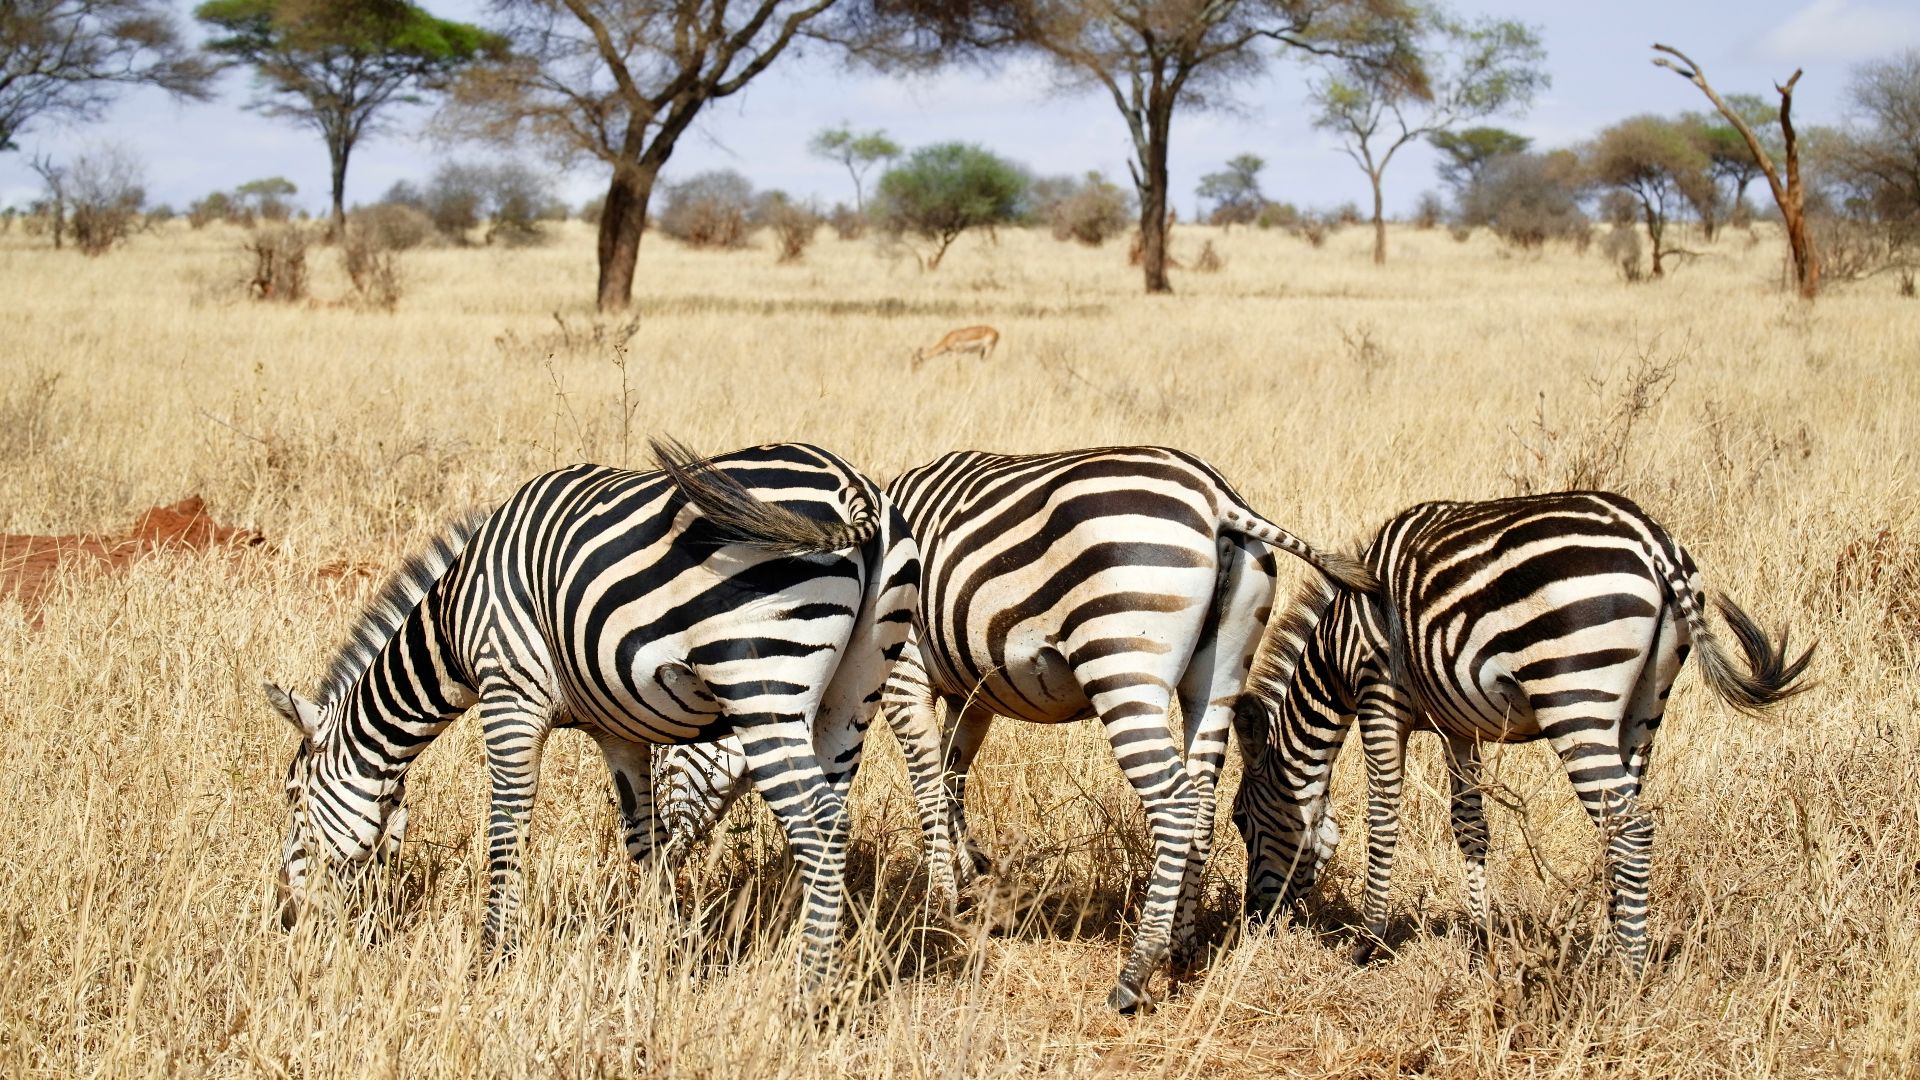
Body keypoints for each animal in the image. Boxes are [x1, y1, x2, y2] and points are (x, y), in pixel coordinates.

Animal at [266, 440, 919, 991]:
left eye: (293, 795)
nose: (285, 917)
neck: (453, 621)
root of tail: (851, 486)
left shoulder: (511, 692)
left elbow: (506, 827)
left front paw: (493, 957)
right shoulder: (615, 727)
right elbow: (644, 839)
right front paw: (663, 951)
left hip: (761, 687)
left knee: (818, 828)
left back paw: (806, 993)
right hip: (853, 694)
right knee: (829, 819)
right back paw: (800, 959)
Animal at [651, 446, 1377, 1014]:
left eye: (667, 759)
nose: (659, 863)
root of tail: (1220, 498)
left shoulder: (905, 672)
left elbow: (923, 777)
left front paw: (941, 902)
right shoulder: (972, 690)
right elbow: (952, 772)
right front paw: (970, 877)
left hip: (1123, 664)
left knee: (1173, 801)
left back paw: (1136, 970)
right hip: (1217, 674)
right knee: (1199, 798)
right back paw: (1182, 945)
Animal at [1230, 490, 1812, 973]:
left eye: (1239, 819)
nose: (1255, 920)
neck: (1337, 649)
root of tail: (1652, 541)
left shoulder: (1380, 695)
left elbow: (1382, 814)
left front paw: (1367, 942)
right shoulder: (1456, 727)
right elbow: (1470, 827)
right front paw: (1480, 941)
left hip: (1575, 697)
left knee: (1630, 828)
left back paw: (1629, 970)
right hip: (1645, 705)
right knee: (1620, 821)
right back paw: (1614, 941)